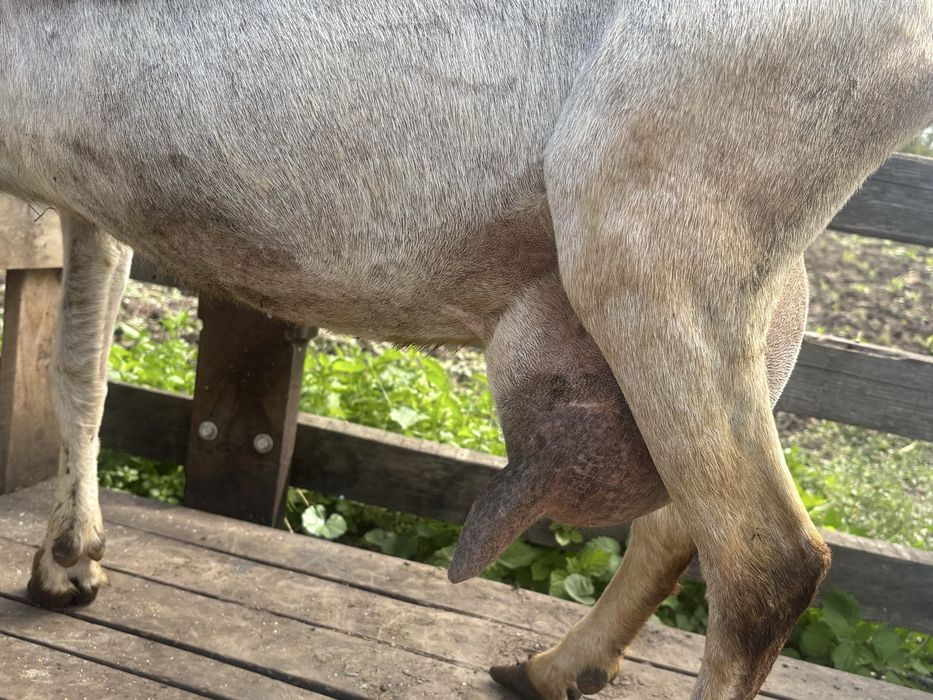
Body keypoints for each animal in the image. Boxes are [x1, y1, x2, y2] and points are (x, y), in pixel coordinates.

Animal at [2, 2, 930, 698]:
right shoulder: (85, 193)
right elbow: (79, 369)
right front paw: (69, 562)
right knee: (680, 520)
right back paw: (555, 667)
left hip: (652, 233)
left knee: (764, 562)